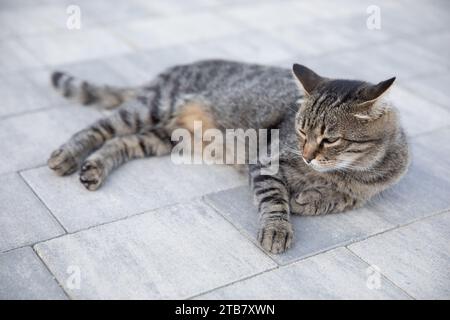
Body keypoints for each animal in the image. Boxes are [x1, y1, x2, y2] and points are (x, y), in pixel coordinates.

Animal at [47, 60, 410, 254]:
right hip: (149, 108)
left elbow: (340, 200)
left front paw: (308, 199)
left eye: (330, 139)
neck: (346, 172)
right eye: (301, 131)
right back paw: (66, 155)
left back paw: (94, 168)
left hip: (166, 137)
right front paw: (279, 226)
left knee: (120, 143)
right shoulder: (265, 161)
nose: (307, 155)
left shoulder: (364, 192)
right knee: (98, 129)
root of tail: (169, 70)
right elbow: (274, 199)